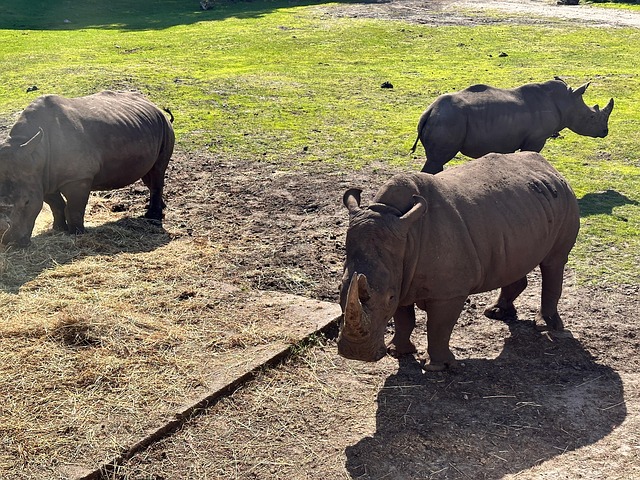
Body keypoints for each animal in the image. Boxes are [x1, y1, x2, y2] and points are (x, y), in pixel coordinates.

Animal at [0, 91, 174, 247]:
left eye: (27, 202)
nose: (9, 243)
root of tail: (155, 106)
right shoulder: (41, 178)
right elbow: (56, 204)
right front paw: (59, 229)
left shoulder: (78, 178)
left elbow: (74, 208)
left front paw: (77, 233)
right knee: (148, 175)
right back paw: (158, 208)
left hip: (165, 129)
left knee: (158, 171)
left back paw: (152, 218)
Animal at [338, 151, 580, 370]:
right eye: (341, 289)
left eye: (388, 297)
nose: (356, 354)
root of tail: (551, 167)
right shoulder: (400, 275)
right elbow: (403, 318)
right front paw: (396, 352)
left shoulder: (448, 292)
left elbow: (439, 326)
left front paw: (438, 367)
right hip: (518, 214)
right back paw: (496, 313)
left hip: (566, 200)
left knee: (554, 262)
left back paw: (548, 327)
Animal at [411, 78, 614, 174]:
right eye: (591, 117)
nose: (605, 132)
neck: (565, 102)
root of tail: (429, 112)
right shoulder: (536, 139)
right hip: (448, 120)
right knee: (437, 160)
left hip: (444, 119)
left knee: (436, 161)